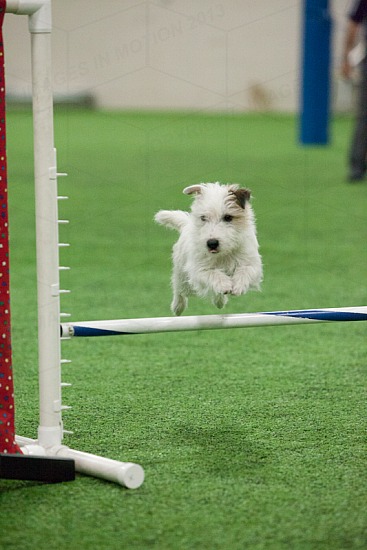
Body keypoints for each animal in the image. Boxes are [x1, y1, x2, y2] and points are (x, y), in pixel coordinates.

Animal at [154, 183, 264, 316]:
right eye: (203, 217)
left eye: (228, 217)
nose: (212, 243)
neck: (224, 254)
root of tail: (186, 224)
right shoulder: (200, 269)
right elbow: (213, 274)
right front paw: (225, 284)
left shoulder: (251, 262)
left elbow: (245, 270)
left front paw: (238, 286)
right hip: (182, 276)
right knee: (179, 290)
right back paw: (177, 307)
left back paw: (219, 301)